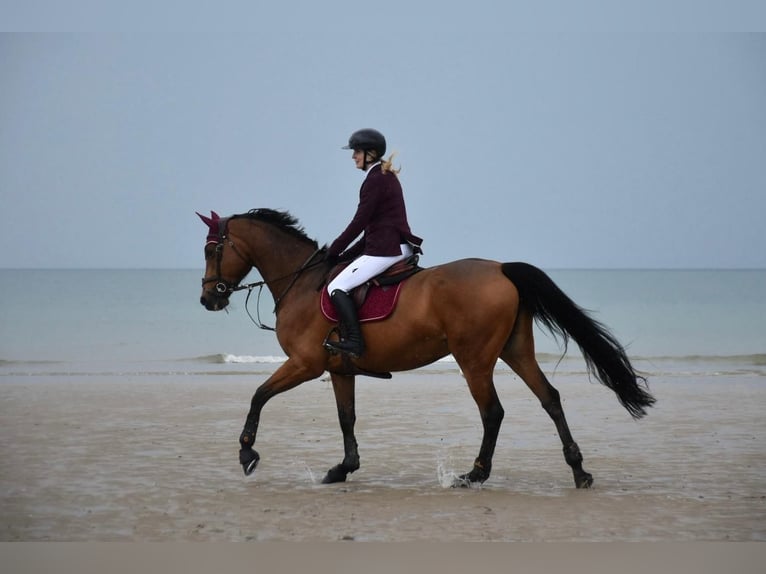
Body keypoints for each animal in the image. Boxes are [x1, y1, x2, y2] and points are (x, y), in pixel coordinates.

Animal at [196, 209, 656, 488]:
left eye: (211, 249)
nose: (207, 299)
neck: (303, 282)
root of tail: (501, 268)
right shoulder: (339, 369)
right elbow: (346, 418)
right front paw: (343, 468)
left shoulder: (304, 363)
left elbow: (259, 395)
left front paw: (247, 453)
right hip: (516, 351)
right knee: (550, 399)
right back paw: (579, 471)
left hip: (474, 359)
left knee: (493, 412)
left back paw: (474, 475)